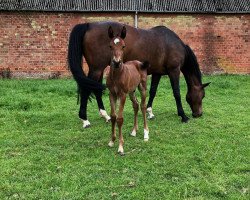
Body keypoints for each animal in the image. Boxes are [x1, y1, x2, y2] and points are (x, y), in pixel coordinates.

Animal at [67, 21, 210, 127]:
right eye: (202, 95)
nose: (199, 114)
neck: (172, 43)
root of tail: (89, 24)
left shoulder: (157, 73)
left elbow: (153, 91)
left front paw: (149, 112)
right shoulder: (173, 70)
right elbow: (177, 93)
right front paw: (183, 116)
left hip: (99, 69)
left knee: (96, 90)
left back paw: (106, 115)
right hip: (96, 69)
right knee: (86, 89)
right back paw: (85, 119)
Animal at [106, 26, 149, 155]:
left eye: (123, 46)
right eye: (110, 46)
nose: (116, 62)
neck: (116, 76)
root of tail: (139, 62)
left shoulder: (122, 94)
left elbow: (120, 118)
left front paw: (120, 147)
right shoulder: (112, 94)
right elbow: (113, 116)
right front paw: (112, 141)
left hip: (142, 87)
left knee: (143, 106)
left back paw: (146, 133)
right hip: (131, 91)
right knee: (136, 105)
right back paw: (134, 131)